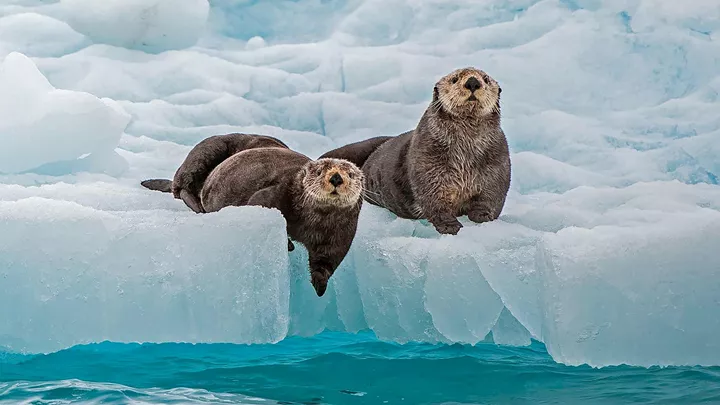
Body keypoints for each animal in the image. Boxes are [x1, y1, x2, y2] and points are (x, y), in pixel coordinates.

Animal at [319, 67, 511, 235]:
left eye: (485, 79)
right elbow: (433, 198)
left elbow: (492, 194)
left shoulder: (497, 160)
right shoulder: (427, 160)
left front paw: (482, 216)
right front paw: (449, 226)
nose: (472, 82)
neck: (465, 152)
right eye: (455, 79)